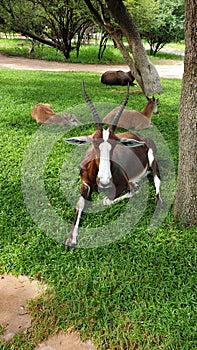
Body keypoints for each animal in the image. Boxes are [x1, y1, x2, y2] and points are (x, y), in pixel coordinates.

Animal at [63, 82, 162, 249]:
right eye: (94, 144)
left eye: (115, 145)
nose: (104, 181)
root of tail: (142, 137)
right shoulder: (85, 183)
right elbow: (79, 204)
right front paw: (71, 240)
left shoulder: (122, 184)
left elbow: (106, 200)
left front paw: (134, 188)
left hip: (152, 158)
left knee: (157, 179)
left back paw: (158, 201)